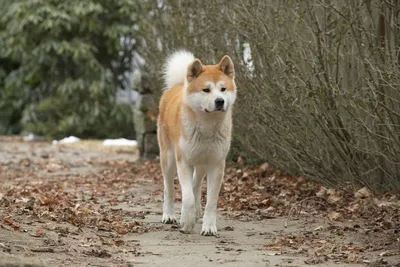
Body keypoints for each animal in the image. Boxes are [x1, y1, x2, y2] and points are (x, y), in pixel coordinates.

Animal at [157, 50, 238, 237]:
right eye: (206, 90)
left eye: (223, 89)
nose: (220, 101)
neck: (207, 127)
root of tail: (178, 86)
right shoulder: (183, 162)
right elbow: (187, 197)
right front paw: (186, 221)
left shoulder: (216, 164)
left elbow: (211, 202)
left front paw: (208, 226)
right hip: (169, 159)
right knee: (169, 189)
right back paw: (169, 215)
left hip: (202, 162)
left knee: (196, 183)